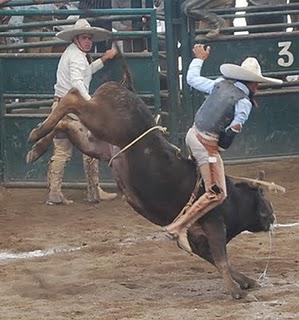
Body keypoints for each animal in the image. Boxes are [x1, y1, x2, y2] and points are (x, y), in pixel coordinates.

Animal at [26, 56, 282, 298]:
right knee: (72, 99)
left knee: (66, 124)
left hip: (95, 142)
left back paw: (36, 146)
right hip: (102, 121)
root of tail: (126, 88)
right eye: (266, 203)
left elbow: (219, 261)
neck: (234, 200)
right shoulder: (214, 225)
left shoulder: (198, 240)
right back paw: (36, 135)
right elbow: (221, 258)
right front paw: (235, 290)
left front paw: (246, 280)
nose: (273, 219)